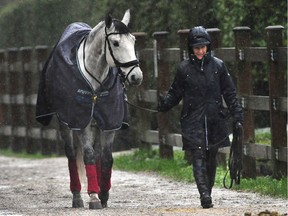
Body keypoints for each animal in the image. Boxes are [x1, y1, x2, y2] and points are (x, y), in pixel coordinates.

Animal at [35, 9, 143, 209]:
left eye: (133, 40)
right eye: (115, 43)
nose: (136, 76)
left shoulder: (108, 123)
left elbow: (106, 158)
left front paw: (104, 194)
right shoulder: (82, 122)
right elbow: (89, 156)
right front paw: (93, 197)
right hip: (67, 124)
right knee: (71, 155)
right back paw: (77, 196)